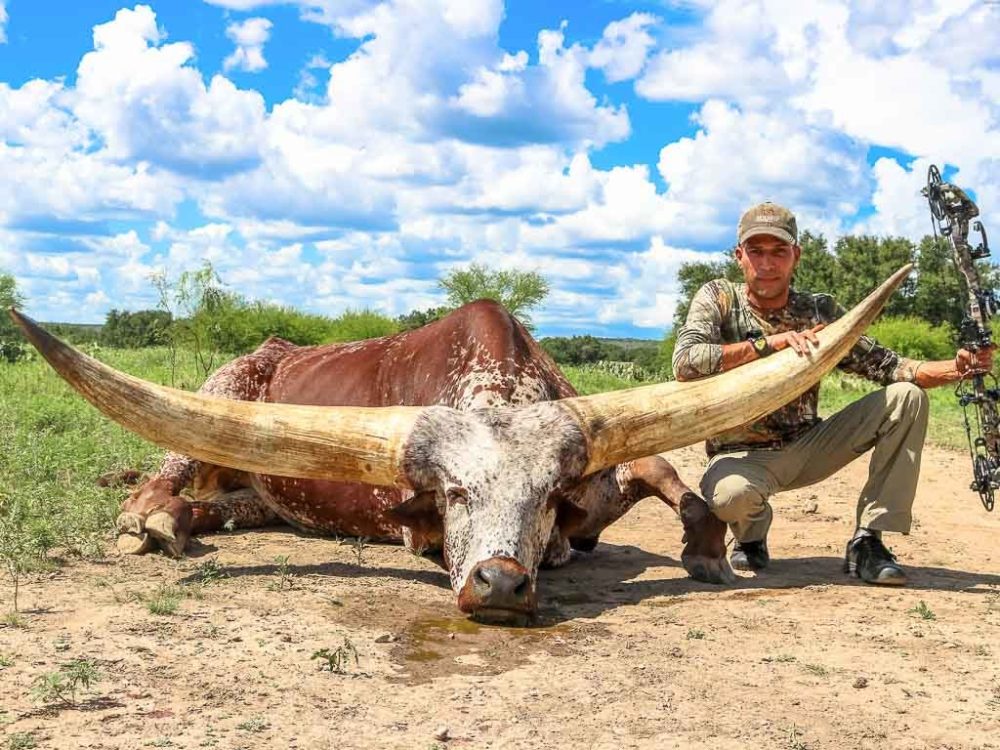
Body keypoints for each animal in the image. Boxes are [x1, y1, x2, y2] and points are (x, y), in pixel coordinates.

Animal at [11, 264, 912, 624]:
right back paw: (154, 521)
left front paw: (704, 549)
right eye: (452, 495)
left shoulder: (607, 468)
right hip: (220, 394)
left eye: (545, 499)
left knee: (223, 504)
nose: (500, 582)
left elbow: (668, 473)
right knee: (161, 482)